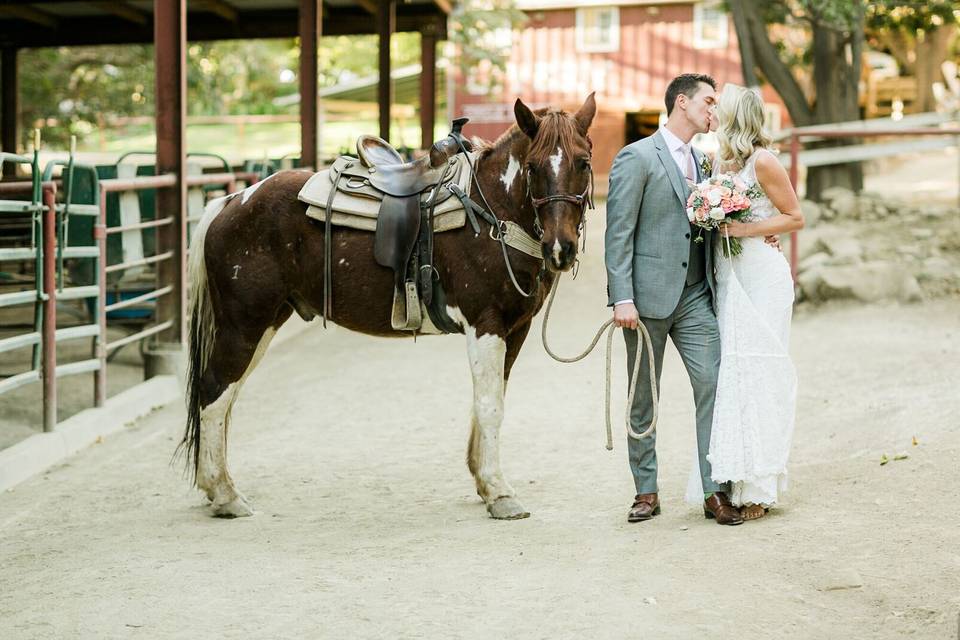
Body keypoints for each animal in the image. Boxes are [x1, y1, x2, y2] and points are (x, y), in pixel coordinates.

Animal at [180, 92, 596, 520]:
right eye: (532, 166)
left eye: (583, 161)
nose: (560, 248)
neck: (492, 212)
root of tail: (230, 202)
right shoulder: (487, 325)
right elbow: (489, 406)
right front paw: (499, 493)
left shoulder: (515, 330)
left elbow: (491, 400)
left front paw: (484, 482)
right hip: (243, 325)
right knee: (214, 392)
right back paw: (225, 495)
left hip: (264, 324)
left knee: (226, 396)